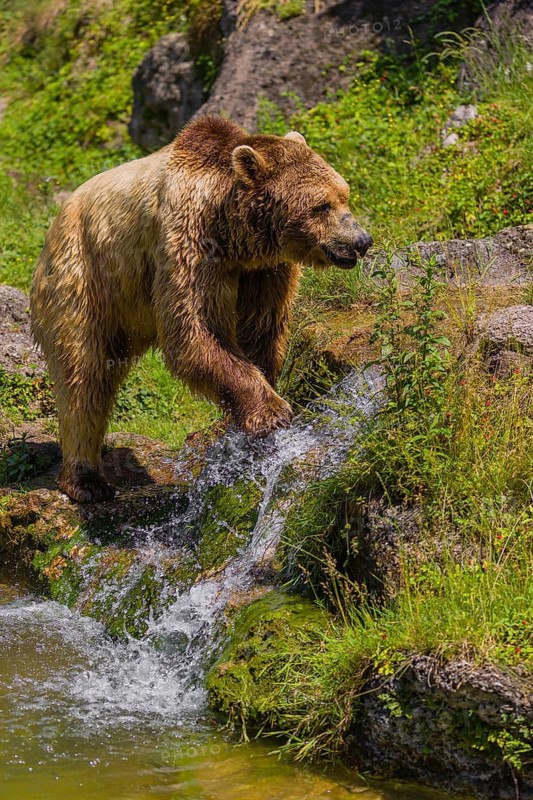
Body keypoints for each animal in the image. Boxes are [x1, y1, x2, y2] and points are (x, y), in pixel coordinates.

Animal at [30, 115, 372, 503]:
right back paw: (87, 480)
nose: (361, 241)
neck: (236, 234)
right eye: (321, 205)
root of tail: (54, 227)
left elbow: (261, 328)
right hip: (85, 278)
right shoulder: (191, 243)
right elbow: (196, 329)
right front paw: (271, 412)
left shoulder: (264, 270)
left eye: (344, 194)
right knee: (84, 376)